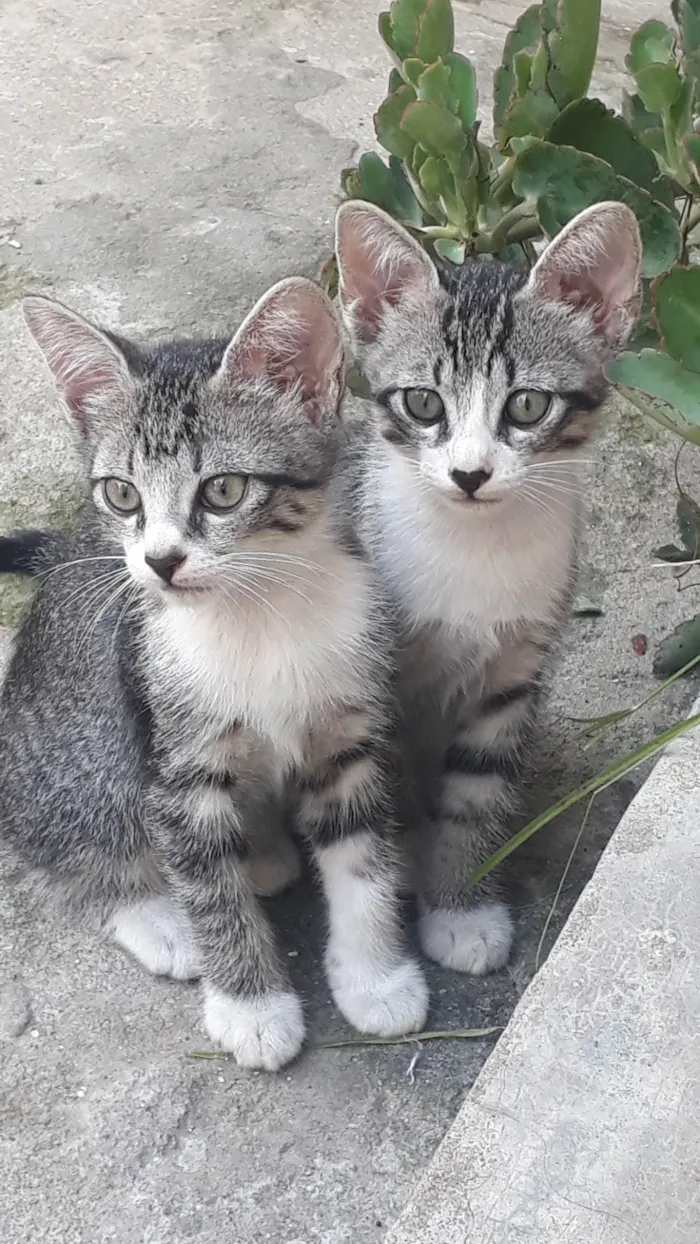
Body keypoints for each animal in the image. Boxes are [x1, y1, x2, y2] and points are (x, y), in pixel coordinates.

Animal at [0, 279, 427, 1069]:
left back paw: (264, 853)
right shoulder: (174, 763)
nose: (160, 562)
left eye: (223, 491)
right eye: (122, 494)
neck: (256, 611)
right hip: (82, 754)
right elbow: (208, 884)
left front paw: (377, 978)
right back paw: (163, 922)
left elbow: (362, 860)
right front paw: (251, 1008)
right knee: (74, 840)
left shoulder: (350, 733)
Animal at [335, 201, 641, 980]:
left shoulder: (517, 669)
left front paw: (460, 904)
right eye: (423, 403)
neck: (478, 548)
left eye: (527, 406)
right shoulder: (374, 682)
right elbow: (387, 793)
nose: (470, 474)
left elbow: (476, 794)